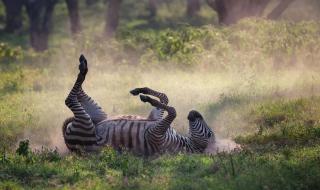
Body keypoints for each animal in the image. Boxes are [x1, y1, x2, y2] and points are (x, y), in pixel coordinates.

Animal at [62, 54, 214, 156]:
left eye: (209, 133)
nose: (194, 112)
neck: (183, 143)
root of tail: (68, 142)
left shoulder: (155, 135)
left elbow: (173, 110)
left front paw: (150, 99)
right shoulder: (155, 120)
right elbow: (165, 98)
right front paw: (143, 92)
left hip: (86, 126)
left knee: (69, 99)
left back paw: (83, 68)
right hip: (99, 115)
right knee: (78, 92)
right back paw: (83, 64)